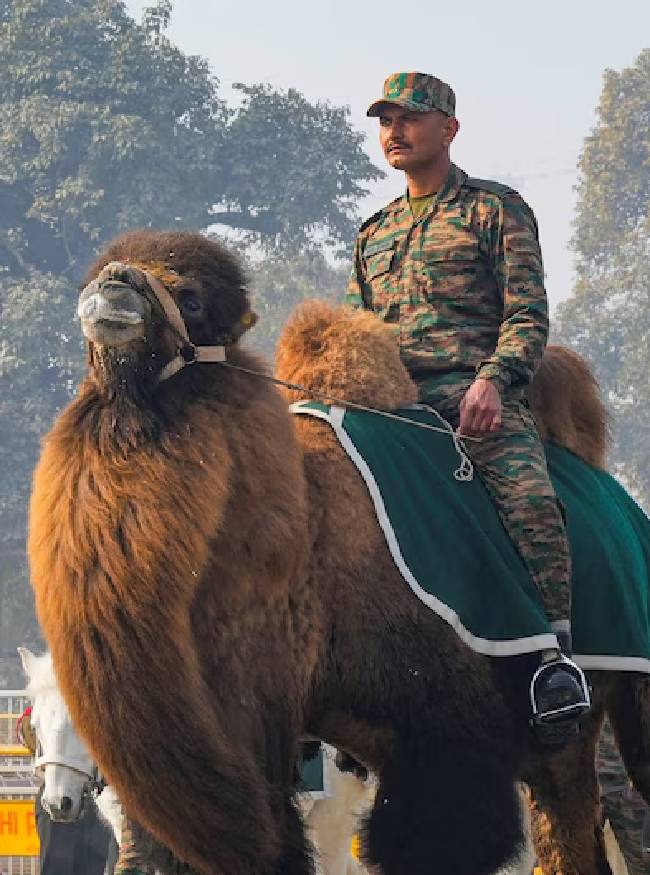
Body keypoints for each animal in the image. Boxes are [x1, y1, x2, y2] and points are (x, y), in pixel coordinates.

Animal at [28, 230, 650, 875]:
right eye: (96, 273)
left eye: (193, 299)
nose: (113, 287)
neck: (306, 555)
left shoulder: (446, 737)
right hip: (562, 741)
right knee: (569, 815)